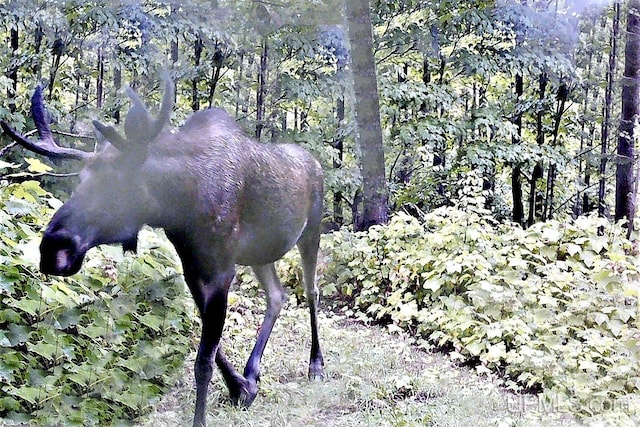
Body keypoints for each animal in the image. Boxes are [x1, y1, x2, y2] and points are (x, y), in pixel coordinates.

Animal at [1, 80, 324, 427]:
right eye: (80, 180)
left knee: (311, 290)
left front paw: (207, 414)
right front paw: (241, 388)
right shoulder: (191, 265)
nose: (53, 248)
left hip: (312, 229)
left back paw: (316, 365)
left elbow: (203, 361)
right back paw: (252, 372)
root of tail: (316, 164)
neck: (180, 204)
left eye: (119, 184)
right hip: (259, 253)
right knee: (277, 295)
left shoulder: (223, 268)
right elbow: (213, 346)